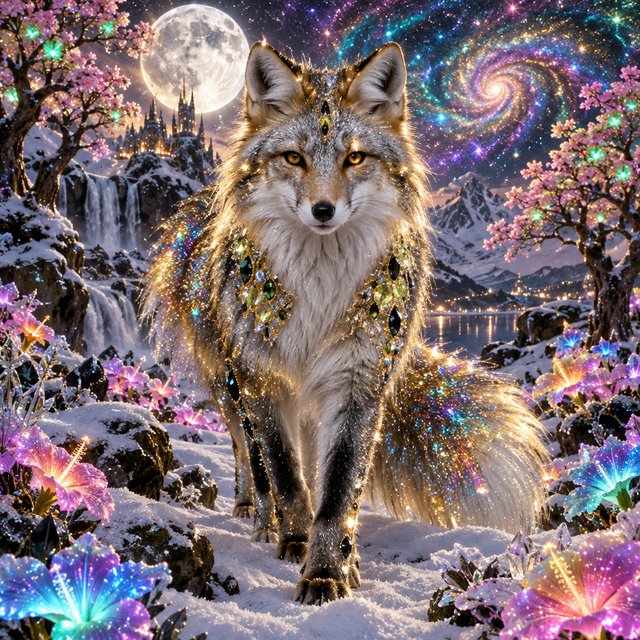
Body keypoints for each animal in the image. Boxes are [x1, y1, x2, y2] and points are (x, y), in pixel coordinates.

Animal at [142, 42, 548, 605]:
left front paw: (329, 570)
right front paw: (295, 541)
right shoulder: (264, 379)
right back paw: (257, 515)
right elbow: (285, 477)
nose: (323, 209)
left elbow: (337, 490)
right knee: (251, 459)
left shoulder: (358, 381)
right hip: (233, 383)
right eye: (294, 157)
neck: (319, 290)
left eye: (354, 157)